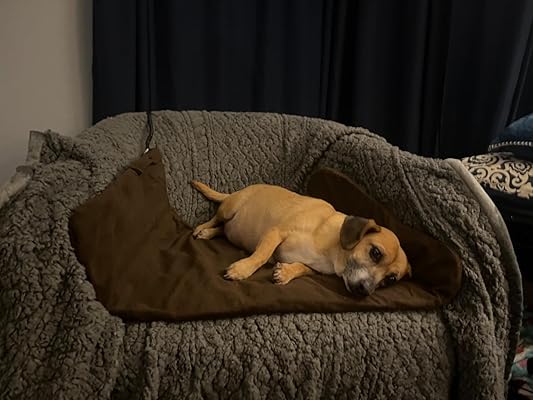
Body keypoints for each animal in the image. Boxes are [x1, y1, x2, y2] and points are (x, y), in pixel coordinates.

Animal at [191, 181, 411, 296]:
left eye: (390, 280)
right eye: (375, 253)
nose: (365, 291)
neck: (332, 251)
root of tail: (236, 192)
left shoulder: (315, 268)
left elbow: (302, 268)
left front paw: (286, 272)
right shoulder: (276, 233)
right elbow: (261, 255)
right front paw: (242, 270)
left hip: (231, 226)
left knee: (222, 230)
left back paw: (209, 233)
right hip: (229, 209)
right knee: (215, 219)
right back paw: (202, 229)